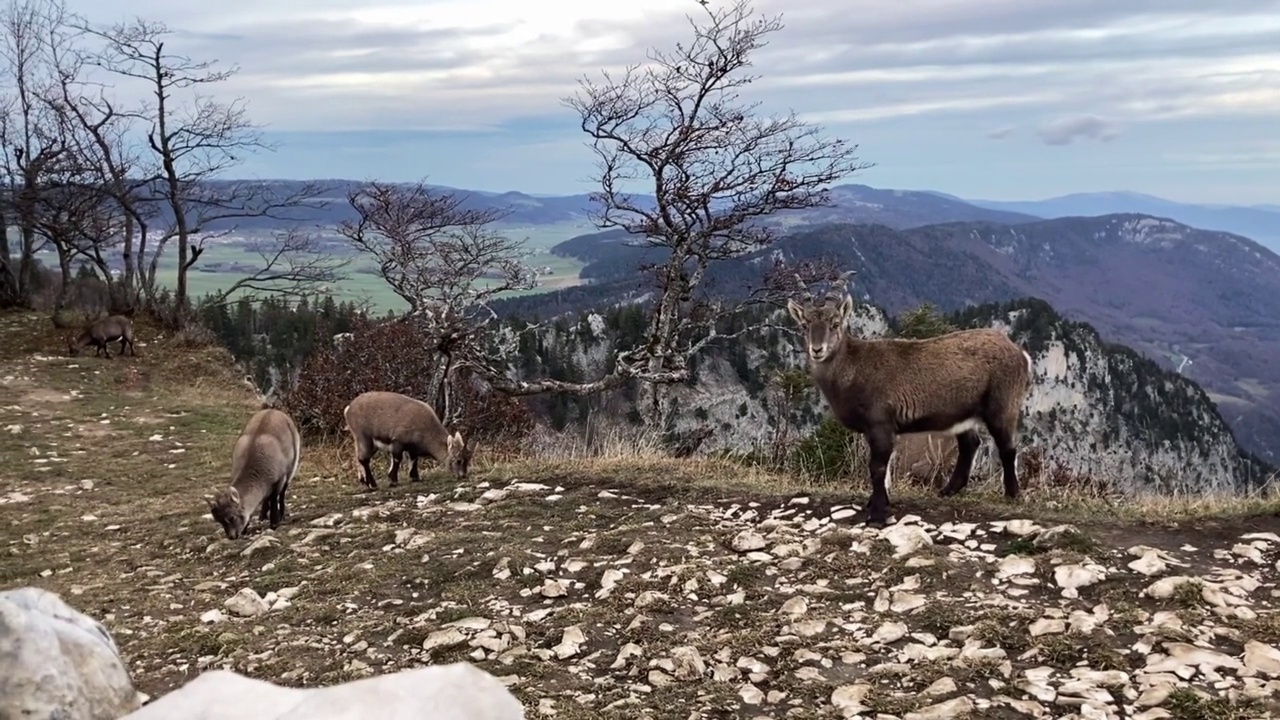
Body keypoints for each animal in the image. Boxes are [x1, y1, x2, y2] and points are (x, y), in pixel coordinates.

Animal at [208, 407, 303, 535]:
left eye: (231, 518)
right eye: (219, 521)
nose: (232, 536)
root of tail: (274, 410)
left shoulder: (280, 477)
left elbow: (275, 497)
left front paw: (274, 523)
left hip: (293, 464)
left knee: (283, 491)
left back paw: (281, 513)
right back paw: (263, 514)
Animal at [343, 389, 473, 489]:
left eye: (468, 459)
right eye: (458, 460)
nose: (463, 475)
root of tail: (348, 409)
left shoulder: (412, 448)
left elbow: (414, 460)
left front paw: (415, 477)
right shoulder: (398, 441)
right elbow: (397, 459)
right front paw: (393, 481)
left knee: (358, 457)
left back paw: (363, 481)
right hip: (364, 437)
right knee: (363, 459)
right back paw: (372, 484)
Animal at [783, 281, 1034, 527]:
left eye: (835, 324)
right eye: (804, 325)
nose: (817, 350)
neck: (853, 367)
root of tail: (1020, 352)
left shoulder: (881, 423)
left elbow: (877, 468)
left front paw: (878, 515)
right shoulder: (874, 429)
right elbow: (883, 470)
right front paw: (875, 504)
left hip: (1003, 404)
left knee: (1007, 447)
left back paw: (1012, 494)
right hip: (964, 413)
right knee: (970, 444)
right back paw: (948, 490)